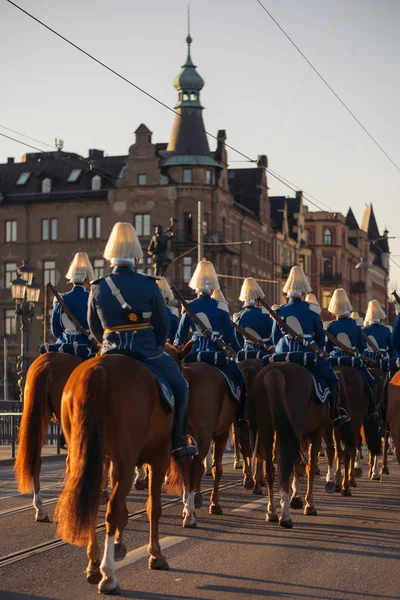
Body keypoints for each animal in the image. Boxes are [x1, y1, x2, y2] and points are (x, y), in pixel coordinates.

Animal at [55, 354, 174, 592]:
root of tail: (98, 370)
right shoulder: (158, 456)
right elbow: (153, 507)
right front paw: (155, 555)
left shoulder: (110, 462)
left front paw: (119, 545)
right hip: (126, 460)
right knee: (112, 509)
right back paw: (108, 575)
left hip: (86, 456)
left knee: (94, 504)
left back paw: (93, 565)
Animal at [250, 360, 332, 524]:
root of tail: (276, 372)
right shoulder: (316, 432)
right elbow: (309, 467)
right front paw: (309, 504)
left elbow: (298, 464)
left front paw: (296, 498)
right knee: (286, 465)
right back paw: (285, 515)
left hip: (266, 429)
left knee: (271, 469)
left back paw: (272, 512)